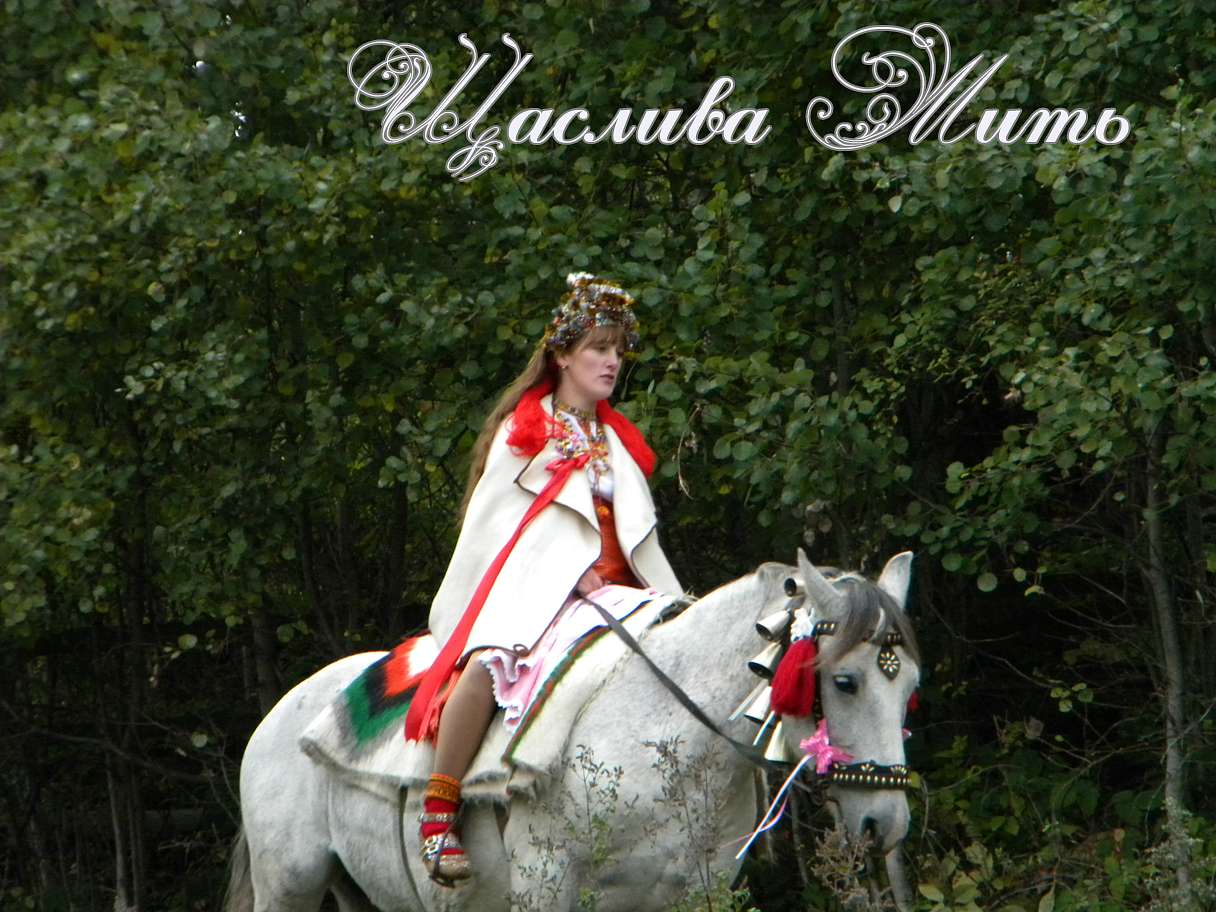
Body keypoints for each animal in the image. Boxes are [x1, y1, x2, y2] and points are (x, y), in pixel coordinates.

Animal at [224, 549, 921, 912]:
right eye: (846, 682)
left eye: (910, 686)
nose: (885, 824)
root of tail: (279, 714)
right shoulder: (545, 884)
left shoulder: (696, 893)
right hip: (290, 885)